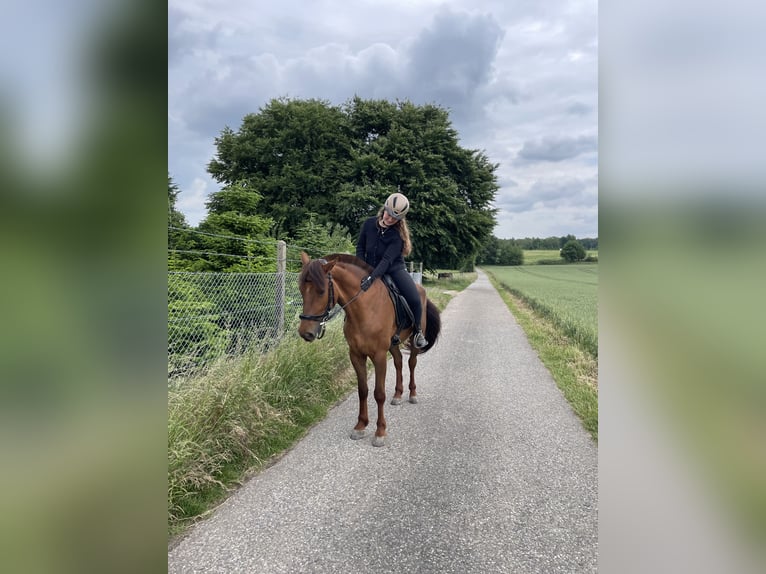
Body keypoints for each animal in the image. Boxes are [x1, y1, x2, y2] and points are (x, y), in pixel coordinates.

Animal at [297, 252, 441, 447]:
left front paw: (380, 432)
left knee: (411, 363)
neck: (364, 309)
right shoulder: (356, 355)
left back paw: (412, 394)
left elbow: (378, 393)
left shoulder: (379, 356)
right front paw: (360, 426)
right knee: (398, 362)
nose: (306, 333)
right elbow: (363, 390)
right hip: (393, 344)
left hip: (414, 340)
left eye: (321, 291)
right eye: (301, 289)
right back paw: (397, 395)